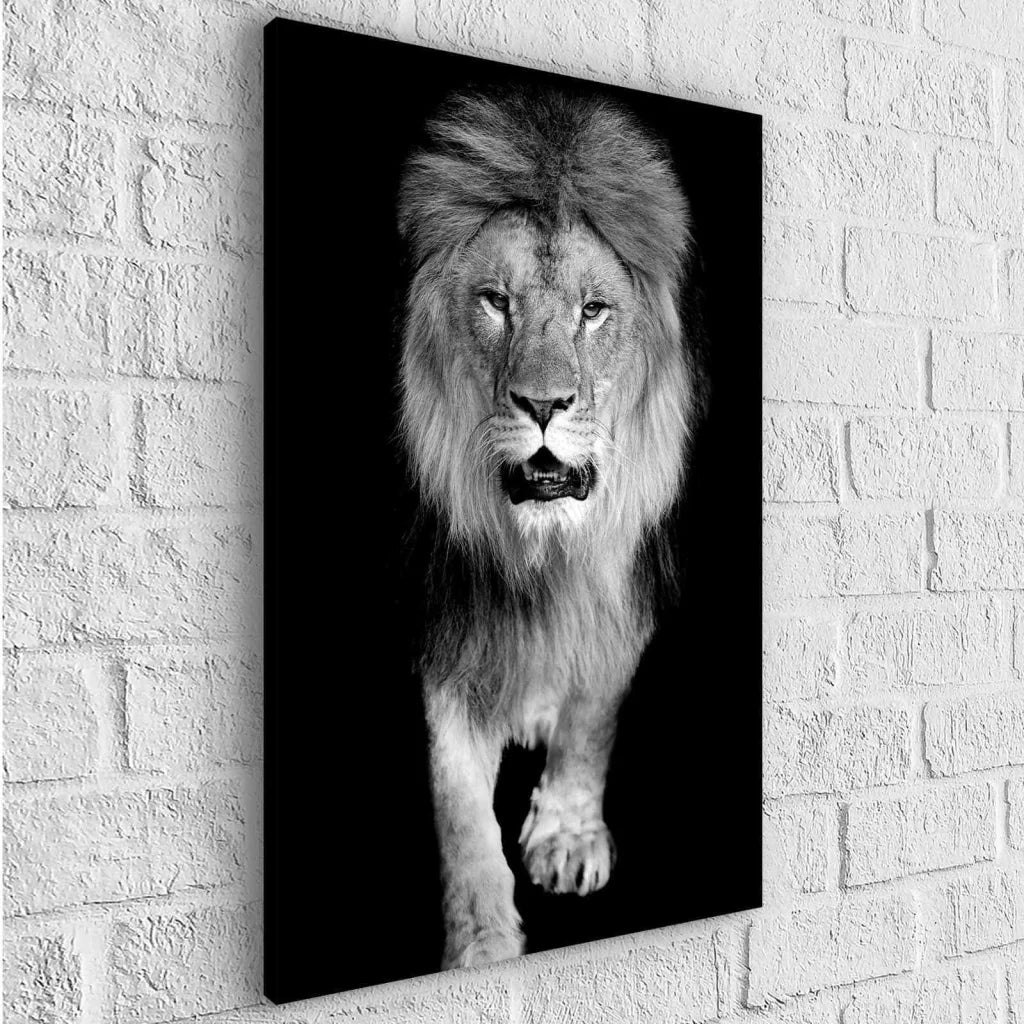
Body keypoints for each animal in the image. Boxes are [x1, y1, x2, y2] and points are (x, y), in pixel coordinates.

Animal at [396, 86, 701, 970]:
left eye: (593, 312)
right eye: (496, 301)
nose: (542, 404)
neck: (547, 551)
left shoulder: (621, 599)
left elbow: (593, 714)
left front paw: (566, 836)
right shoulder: (447, 619)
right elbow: (456, 798)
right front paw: (480, 942)